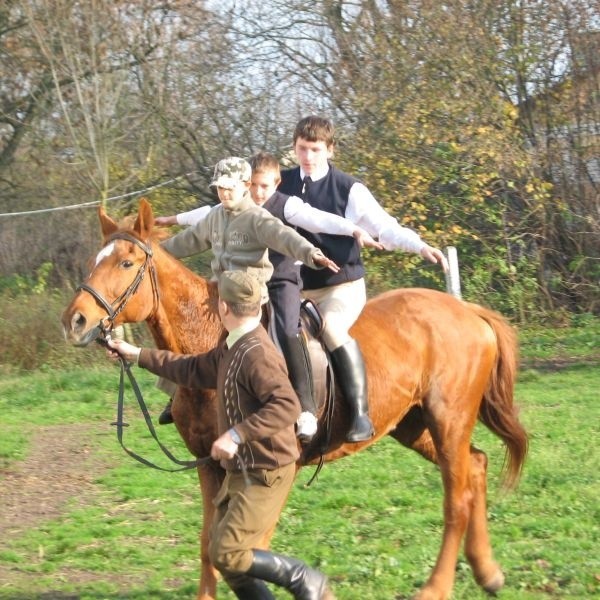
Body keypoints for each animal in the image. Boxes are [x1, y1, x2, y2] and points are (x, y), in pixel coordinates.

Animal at [62, 200, 528, 600]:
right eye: (94, 261)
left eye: (126, 263)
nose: (76, 320)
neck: (215, 337)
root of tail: (468, 312)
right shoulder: (210, 466)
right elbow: (209, 546)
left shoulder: (268, 470)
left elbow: (248, 548)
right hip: (413, 425)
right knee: (477, 466)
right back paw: (487, 572)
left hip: (448, 420)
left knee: (456, 499)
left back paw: (436, 587)